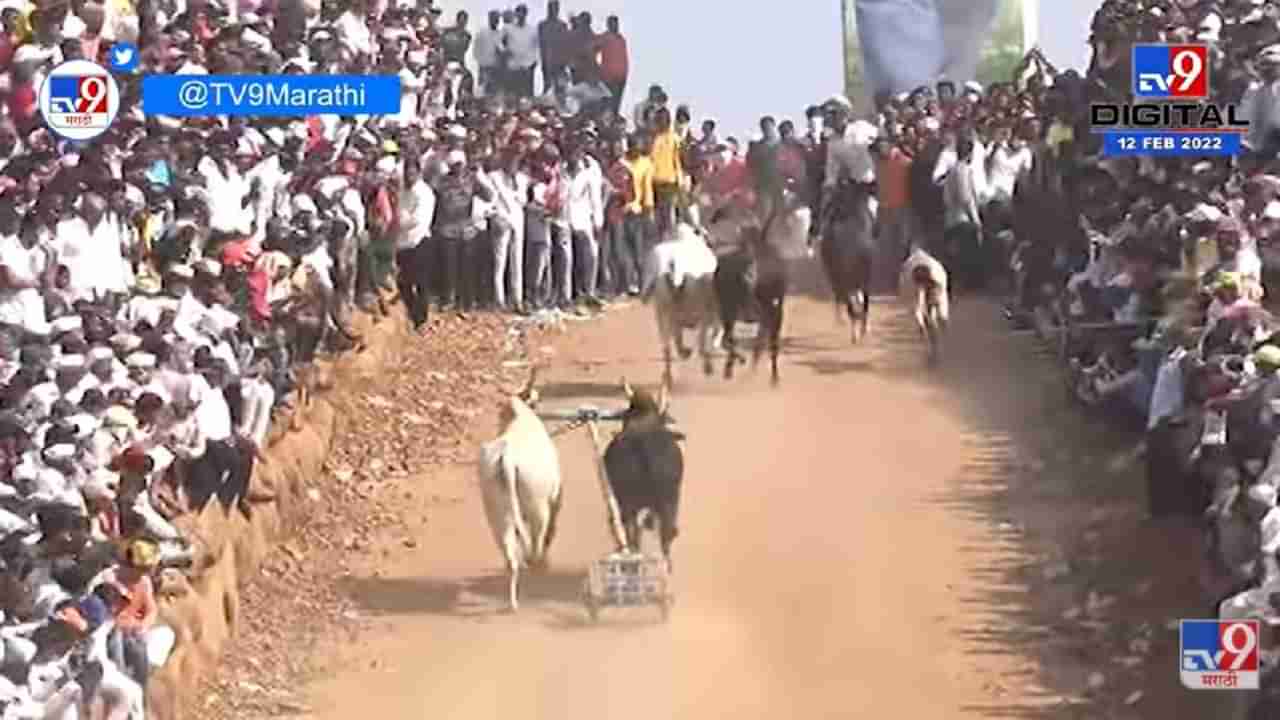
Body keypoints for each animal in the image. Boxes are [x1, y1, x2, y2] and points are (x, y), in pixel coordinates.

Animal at [645, 222, 727, 384]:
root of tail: (674, 264)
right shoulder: (711, 312)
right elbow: (714, 335)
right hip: (699, 312)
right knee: (700, 343)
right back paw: (706, 366)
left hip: (662, 311)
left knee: (668, 346)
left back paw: (669, 376)